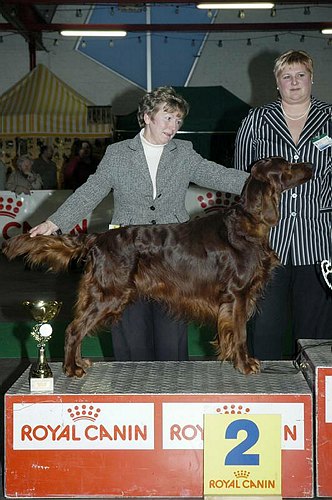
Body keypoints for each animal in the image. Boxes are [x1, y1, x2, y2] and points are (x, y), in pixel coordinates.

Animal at [1, 156, 312, 376]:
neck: (248, 223)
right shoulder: (238, 293)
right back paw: (71, 368)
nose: (309, 165)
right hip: (110, 294)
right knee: (73, 329)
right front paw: (245, 364)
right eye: (287, 165)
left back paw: (79, 363)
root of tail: (98, 237)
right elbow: (241, 333)